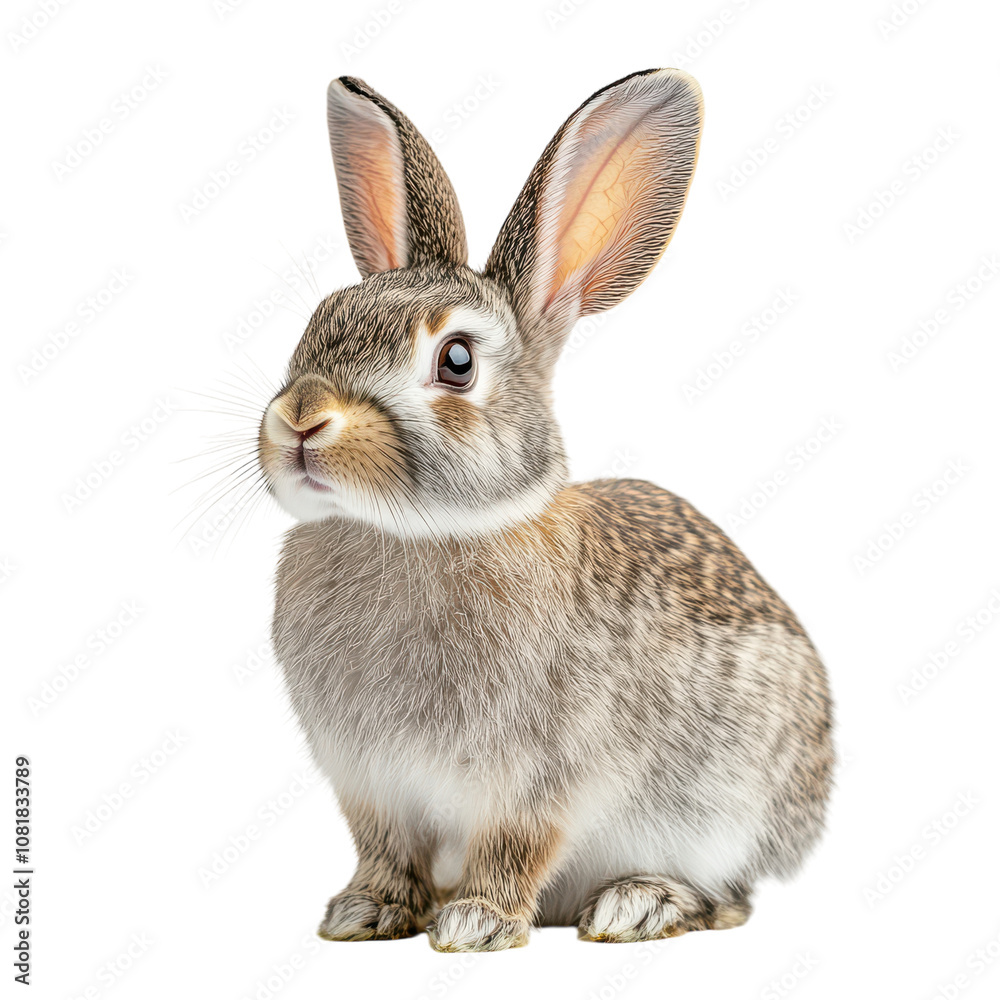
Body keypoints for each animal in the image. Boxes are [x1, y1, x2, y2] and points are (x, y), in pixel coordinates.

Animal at [259, 69, 834, 952]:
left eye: (457, 361)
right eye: (319, 320)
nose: (300, 420)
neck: (416, 531)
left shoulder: (539, 780)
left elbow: (515, 847)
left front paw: (475, 925)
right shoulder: (372, 785)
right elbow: (385, 850)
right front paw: (364, 911)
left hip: (730, 806)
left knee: (731, 897)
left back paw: (640, 903)